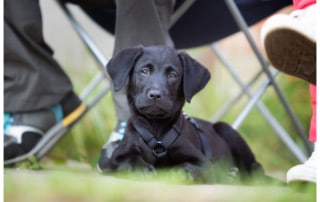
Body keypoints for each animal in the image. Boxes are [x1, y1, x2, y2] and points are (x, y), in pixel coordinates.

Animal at [103, 45, 264, 181]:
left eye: (173, 75)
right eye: (144, 71)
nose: (155, 95)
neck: (156, 128)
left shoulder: (202, 161)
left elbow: (188, 166)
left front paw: (175, 172)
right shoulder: (116, 157)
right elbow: (130, 161)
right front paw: (144, 170)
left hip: (226, 129)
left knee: (256, 169)